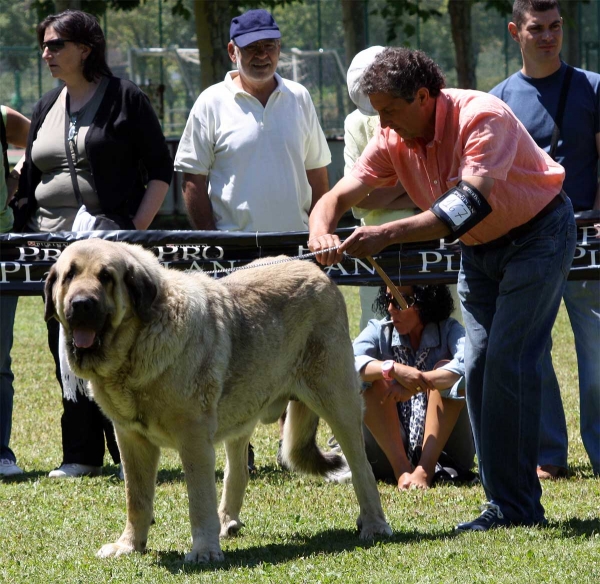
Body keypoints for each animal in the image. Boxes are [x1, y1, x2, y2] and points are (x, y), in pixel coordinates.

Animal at [43, 238, 390, 560]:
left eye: (106, 277)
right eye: (69, 275)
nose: (82, 304)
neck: (136, 346)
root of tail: (315, 270)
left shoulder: (193, 439)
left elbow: (198, 499)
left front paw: (204, 551)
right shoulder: (131, 439)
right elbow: (137, 498)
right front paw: (128, 545)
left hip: (337, 402)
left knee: (362, 467)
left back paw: (374, 524)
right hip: (242, 411)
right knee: (238, 471)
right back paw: (227, 521)